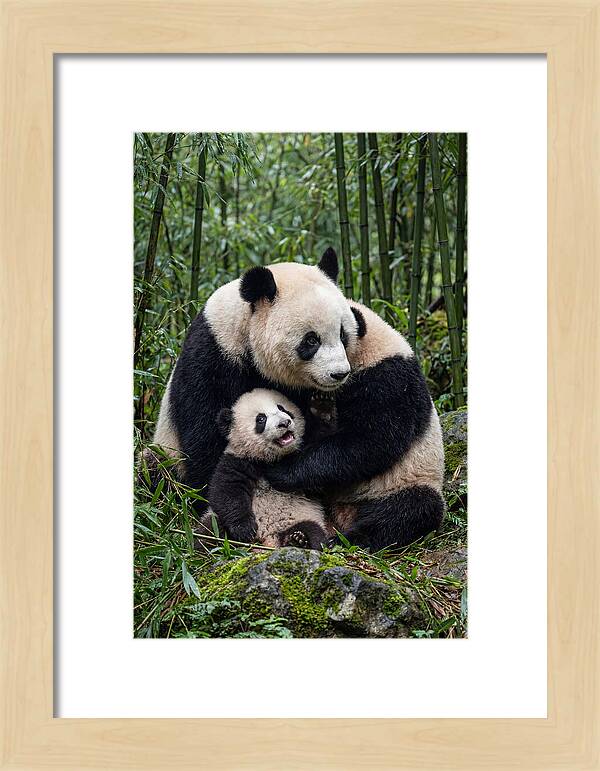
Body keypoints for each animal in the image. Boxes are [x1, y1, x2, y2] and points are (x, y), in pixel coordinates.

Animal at [198, 388, 330, 550]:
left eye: (282, 408)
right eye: (261, 419)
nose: (284, 423)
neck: (270, 458)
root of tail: (268, 540)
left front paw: (321, 407)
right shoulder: (238, 460)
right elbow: (226, 491)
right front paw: (245, 529)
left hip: (302, 517)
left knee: (314, 532)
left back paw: (298, 540)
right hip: (214, 520)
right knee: (208, 531)